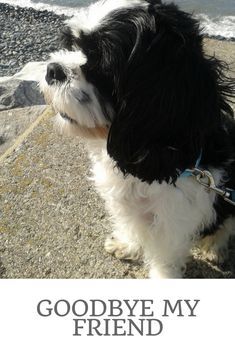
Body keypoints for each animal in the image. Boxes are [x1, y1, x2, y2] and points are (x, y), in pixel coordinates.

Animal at [39, 0, 234, 278]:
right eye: (73, 46)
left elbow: (164, 256)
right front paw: (127, 244)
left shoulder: (173, 219)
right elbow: (130, 223)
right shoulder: (124, 202)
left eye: (102, 64)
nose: (53, 69)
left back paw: (216, 247)